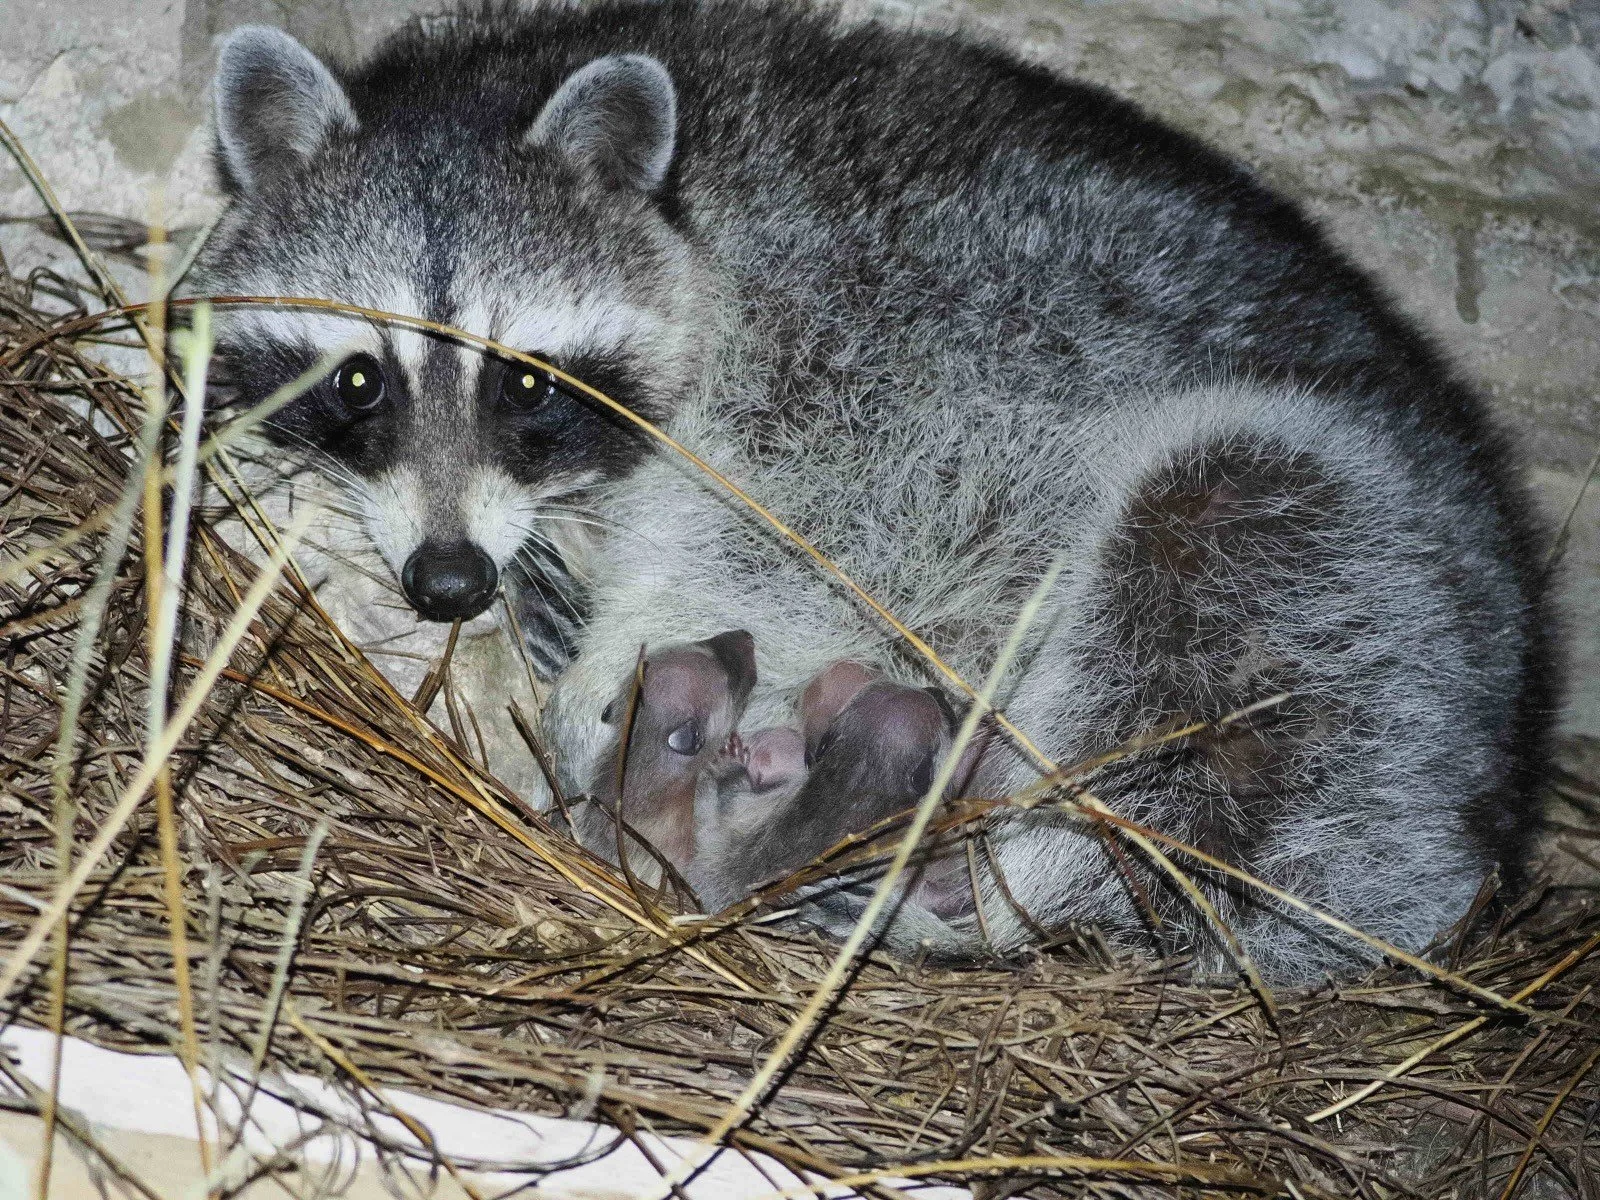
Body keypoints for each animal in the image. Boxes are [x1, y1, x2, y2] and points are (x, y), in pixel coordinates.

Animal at [191, 0, 1555, 981]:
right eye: (359, 378)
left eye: (525, 382)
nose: (448, 581)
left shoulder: (861, 336)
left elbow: (817, 535)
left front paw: (616, 676)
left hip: (1381, 605)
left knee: (1231, 587)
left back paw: (1012, 893)